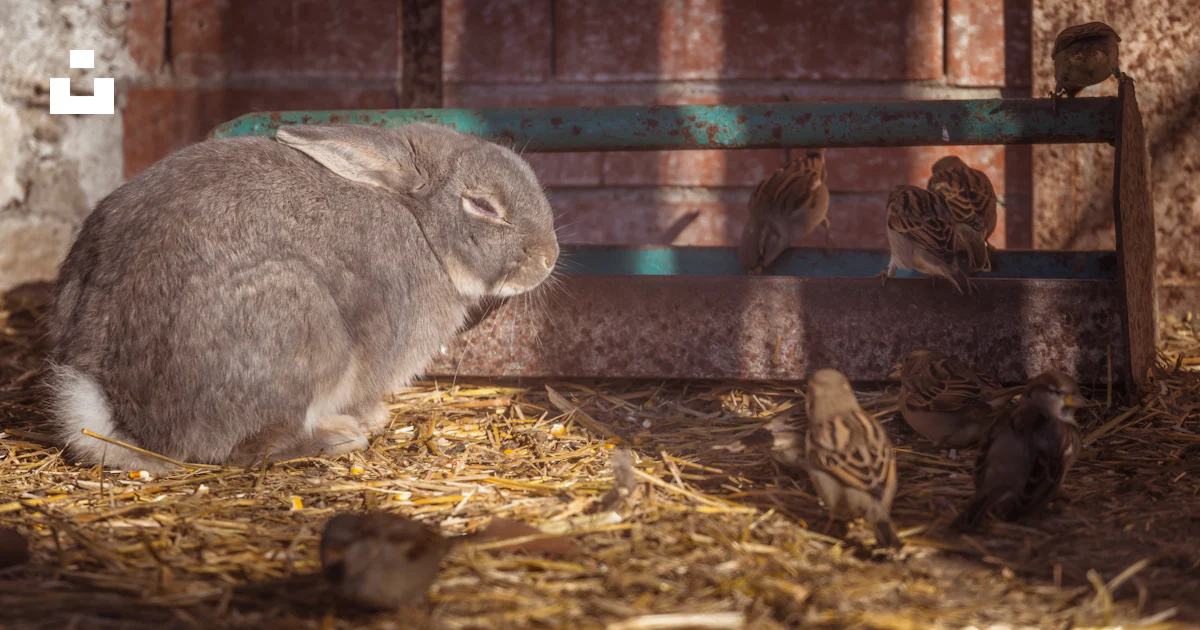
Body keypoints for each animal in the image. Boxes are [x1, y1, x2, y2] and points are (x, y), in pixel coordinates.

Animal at [45, 123, 559, 471]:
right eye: (483, 205)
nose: (549, 258)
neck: (419, 224)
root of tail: (124, 416)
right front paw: (373, 416)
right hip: (301, 327)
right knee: (243, 450)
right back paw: (339, 438)